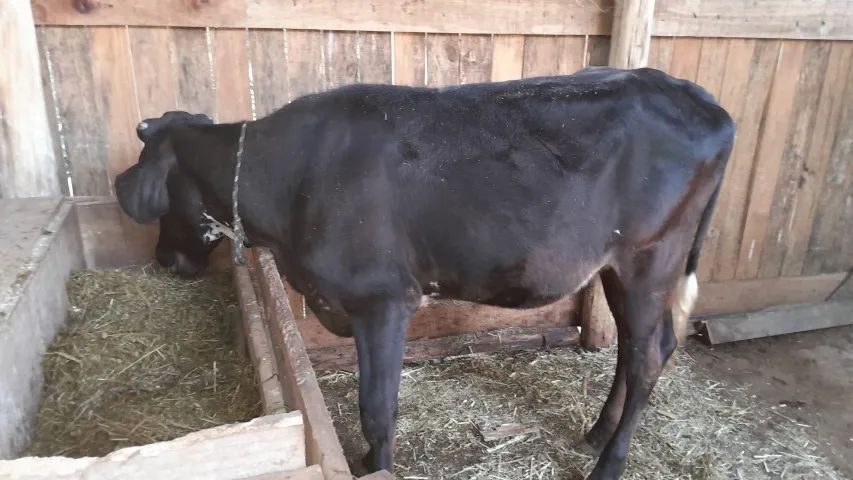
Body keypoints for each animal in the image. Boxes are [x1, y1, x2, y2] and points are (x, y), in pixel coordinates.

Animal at [114, 67, 734, 479]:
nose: (164, 261)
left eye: (162, 200)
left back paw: (609, 464)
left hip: (650, 259)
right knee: (635, 347)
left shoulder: (383, 300)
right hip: (619, 268)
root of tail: (704, 102)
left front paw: (377, 466)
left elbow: (377, 406)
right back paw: (596, 434)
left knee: (650, 353)